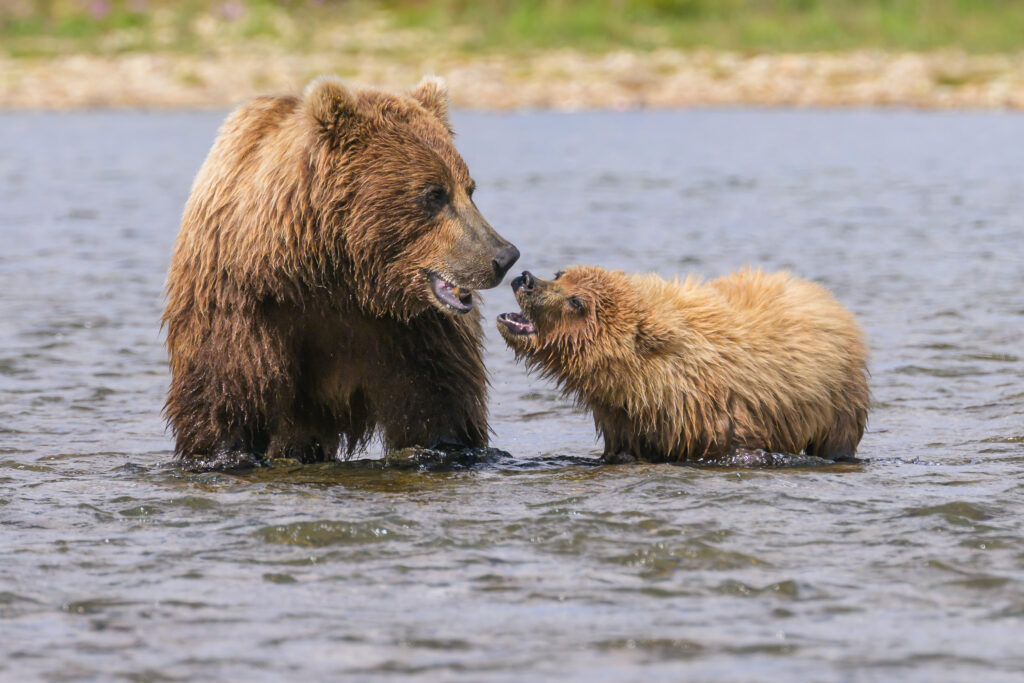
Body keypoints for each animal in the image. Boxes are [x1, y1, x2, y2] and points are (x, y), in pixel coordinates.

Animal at [163, 75, 519, 467]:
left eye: (469, 190)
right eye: (434, 193)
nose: (504, 255)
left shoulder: (418, 331)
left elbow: (439, 404)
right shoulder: (241, 303)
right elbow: (224, 396)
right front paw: (224, 451)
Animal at [497, 266, 869, 463]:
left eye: (577, 302)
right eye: (561, 274)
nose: (526, 278)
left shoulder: (724, 416)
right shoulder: (626, 419)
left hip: (837, 403)